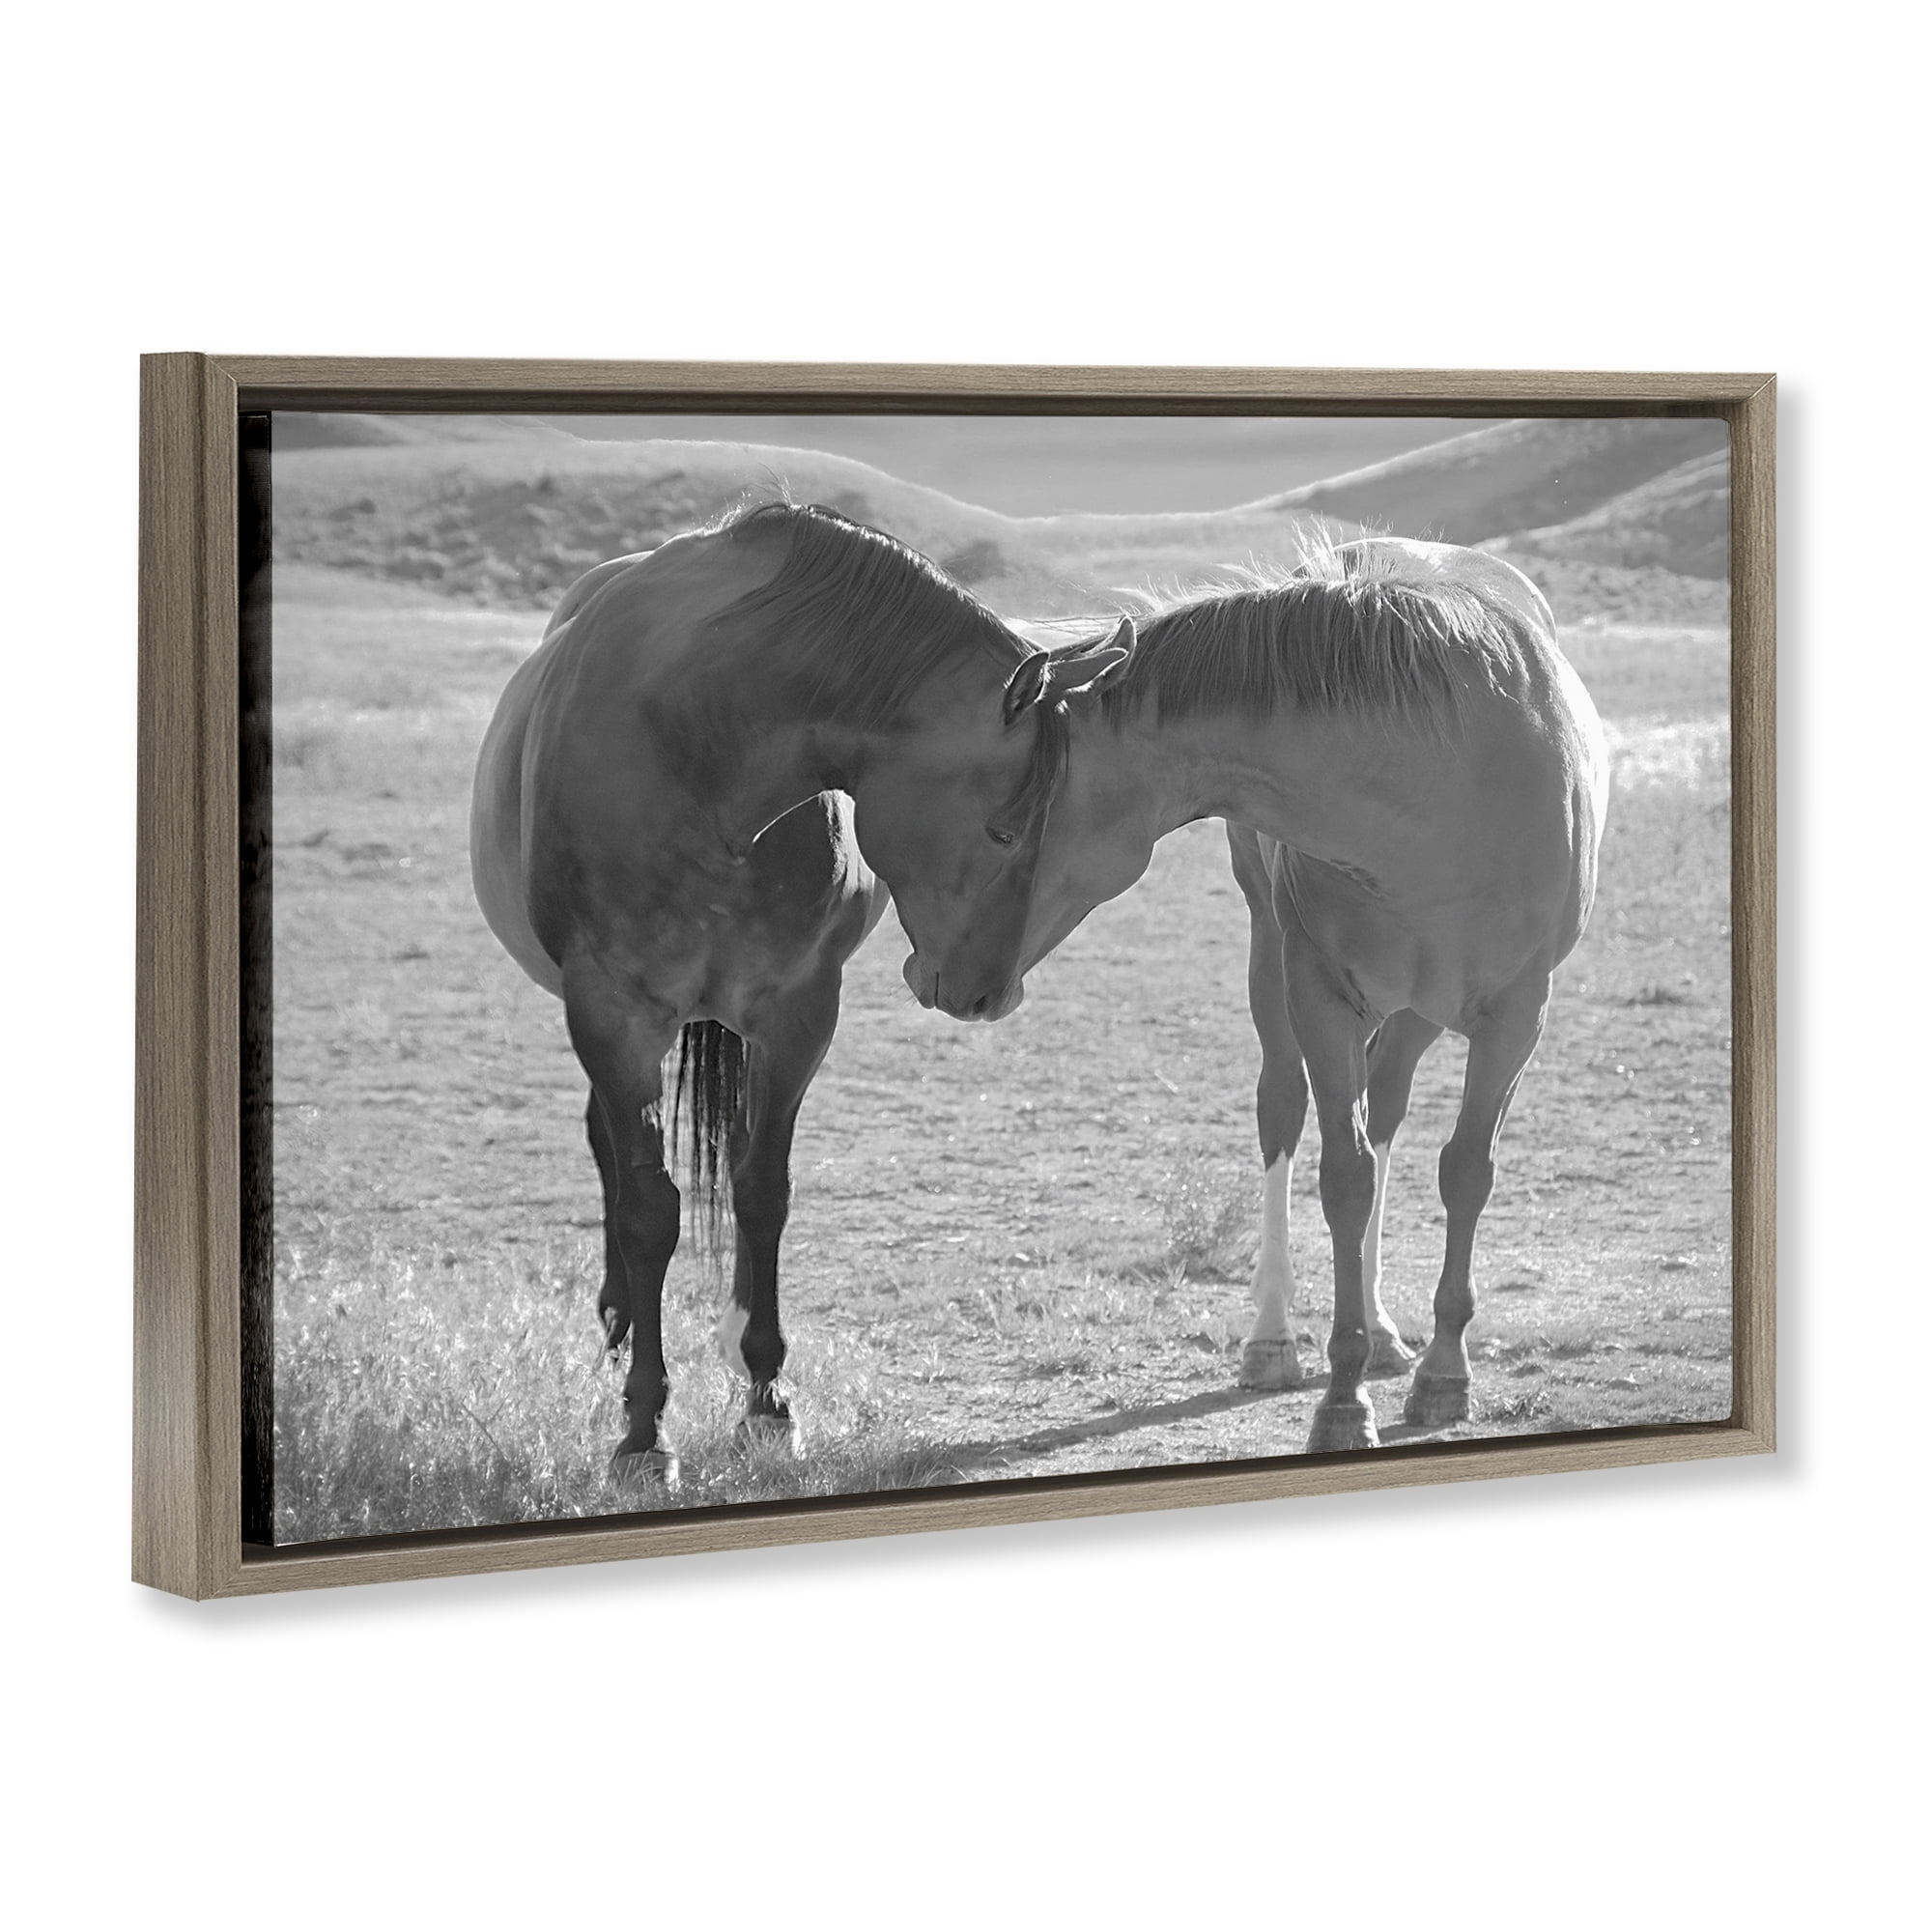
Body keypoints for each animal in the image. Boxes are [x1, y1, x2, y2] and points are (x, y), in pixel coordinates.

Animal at [470, 501, 1132, 1479]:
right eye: (1006, 828)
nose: (988, 994)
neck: (698, 749)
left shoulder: (796, 1013)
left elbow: (762, 1191)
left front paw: (766, 1396)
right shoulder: (611, 1013)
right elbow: (648, 1210)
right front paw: (644, 1429)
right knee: (610, 1155)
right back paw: (621, 1321)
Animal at [955, 536, 1608, 1453]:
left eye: (1002, 828)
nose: (949, 979)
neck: (1439, 784)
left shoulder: (1517, 1016)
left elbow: (1464, 1172)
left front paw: (1444, 1373)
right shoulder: (1320, 997)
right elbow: (1343, 1176)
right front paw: (1340, 1397)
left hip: (1416, 1010)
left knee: (1389, 1110)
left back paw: (1389, 1332)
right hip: (1274, 962)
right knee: (1284, 1113)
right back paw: (1272, 1339)